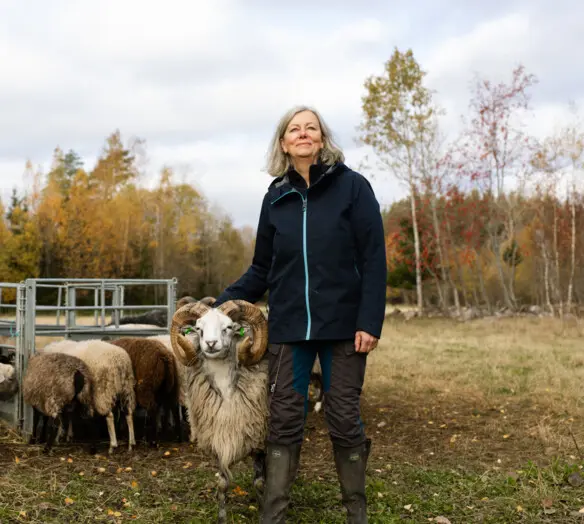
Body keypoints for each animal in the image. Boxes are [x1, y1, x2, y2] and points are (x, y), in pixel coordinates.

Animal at [169, 298, 270, 524]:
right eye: (199, 328)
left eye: (229, 327)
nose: (211, 344)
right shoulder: (218, 440)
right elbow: (222, 485)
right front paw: (222, 517)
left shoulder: (259, 440)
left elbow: (260, 483)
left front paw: (263, 511)